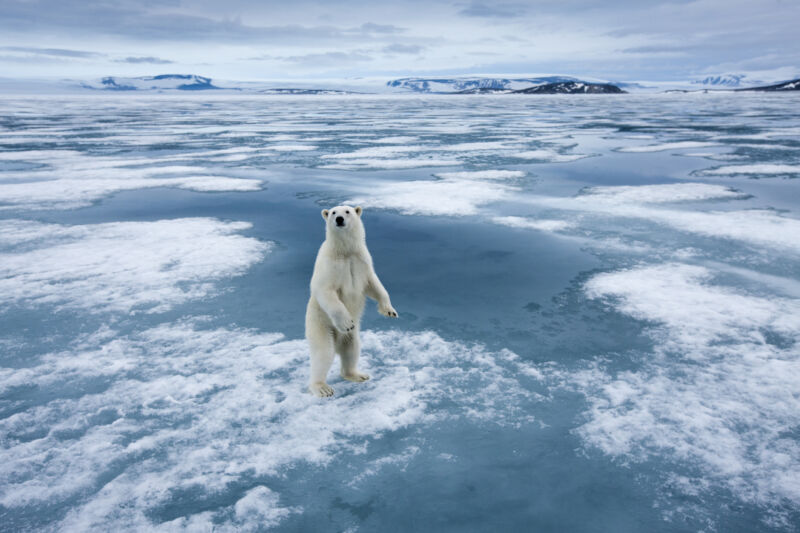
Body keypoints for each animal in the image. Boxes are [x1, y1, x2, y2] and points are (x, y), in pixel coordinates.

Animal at [305, 205, 398, 397]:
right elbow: (325, 290)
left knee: (352, 349)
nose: (339, 219)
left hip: (351, 337)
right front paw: (347, 322)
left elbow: (374, 284)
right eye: (333, 212)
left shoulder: (362, 260)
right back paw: (322, 387)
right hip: (319, 324)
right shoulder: (329, 264)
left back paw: (357, 375)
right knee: (323, 354)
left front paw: (389, 310)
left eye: (347, 211)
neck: (345, 252)